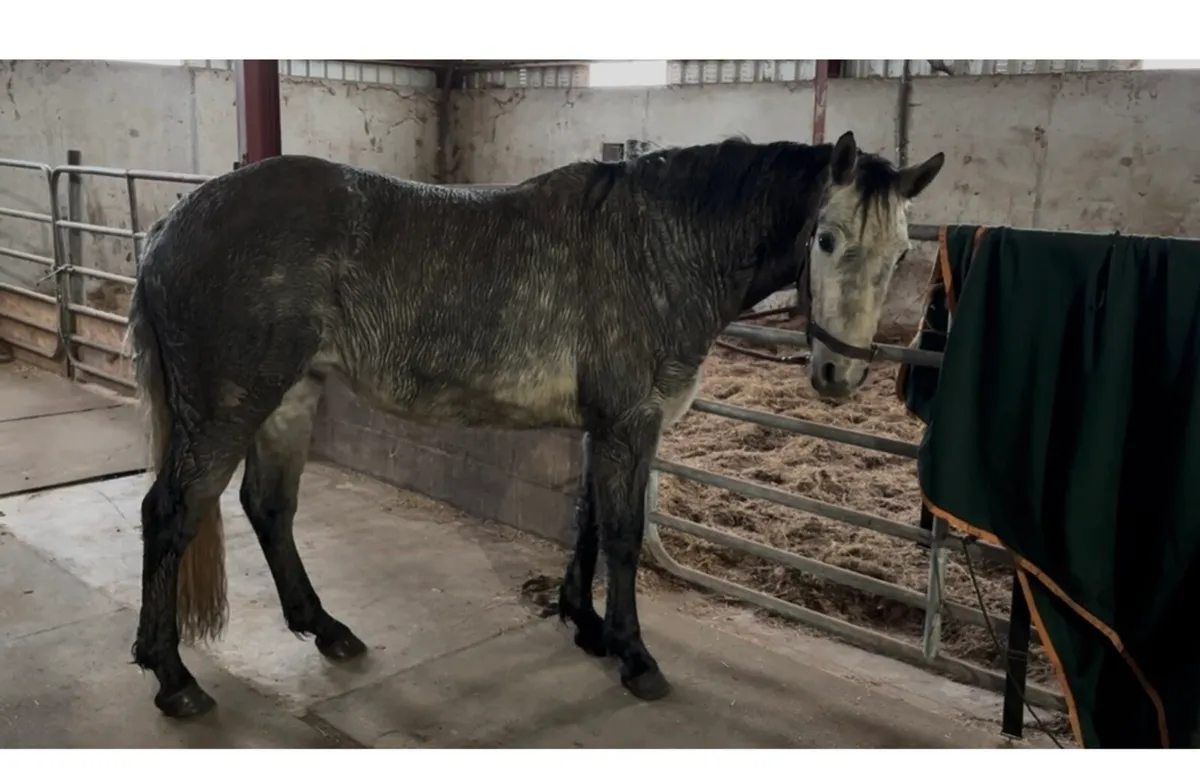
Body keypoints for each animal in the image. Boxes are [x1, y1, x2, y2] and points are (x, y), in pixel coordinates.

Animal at [125, 130, 944, 718]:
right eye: (827, 239)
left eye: (903, 251)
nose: (839, 377)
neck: (663, 247)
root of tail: (170, 226)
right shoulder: (631, 422)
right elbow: (621, 535)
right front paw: (635, 656)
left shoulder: (602, 424)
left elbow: (586, 521)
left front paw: (583, 624)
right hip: (228, 407)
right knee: (170, 513)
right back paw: (173, 679)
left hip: (290, 397)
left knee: (270, 508)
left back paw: (327, 631)